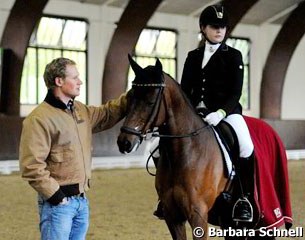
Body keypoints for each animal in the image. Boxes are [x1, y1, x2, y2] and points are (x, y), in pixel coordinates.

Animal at [116, 55, 284, 238]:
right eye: (130, 98)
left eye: (151, 101)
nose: (124, 142)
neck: (185, 151)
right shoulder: (172, 215)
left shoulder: (198, 214)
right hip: (228, 220)